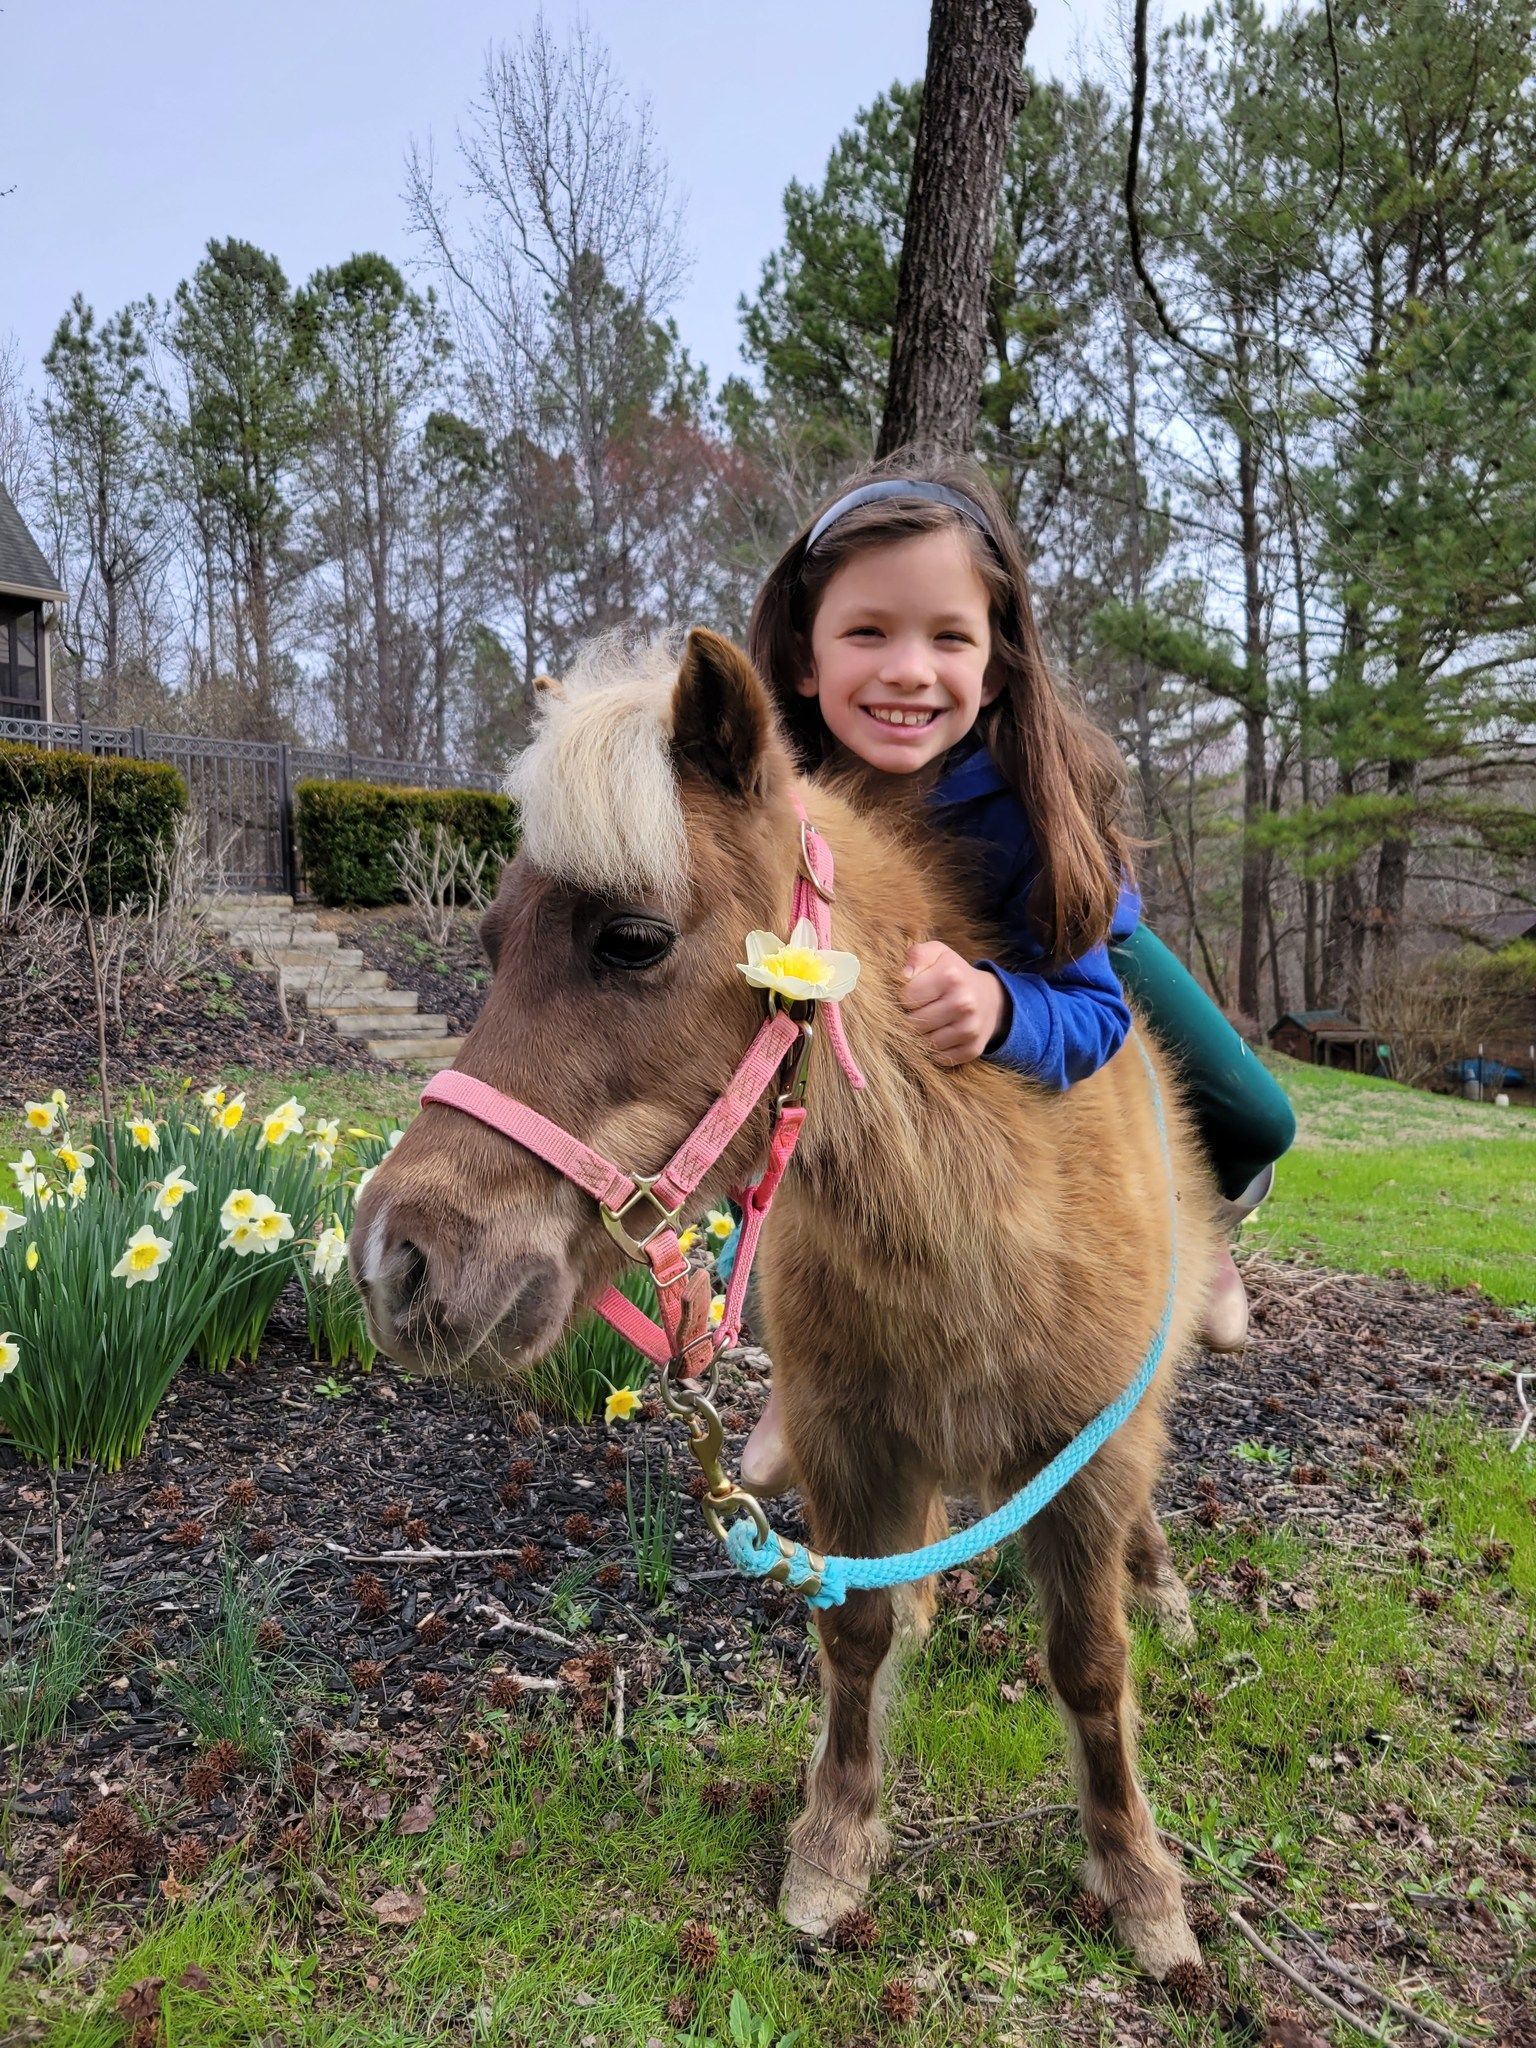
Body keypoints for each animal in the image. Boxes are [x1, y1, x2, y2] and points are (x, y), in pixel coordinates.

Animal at [351, 627, 1221, 1980]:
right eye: (489, 941)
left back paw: (1164, 1589)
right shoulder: (852, 1446)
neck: (986, 1226)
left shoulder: (1087, 1457)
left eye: (633, 938)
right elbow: (853, 1637)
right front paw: (834, 1846)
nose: (396, 1259)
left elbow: (1090, 1661)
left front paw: (1137, 1882)